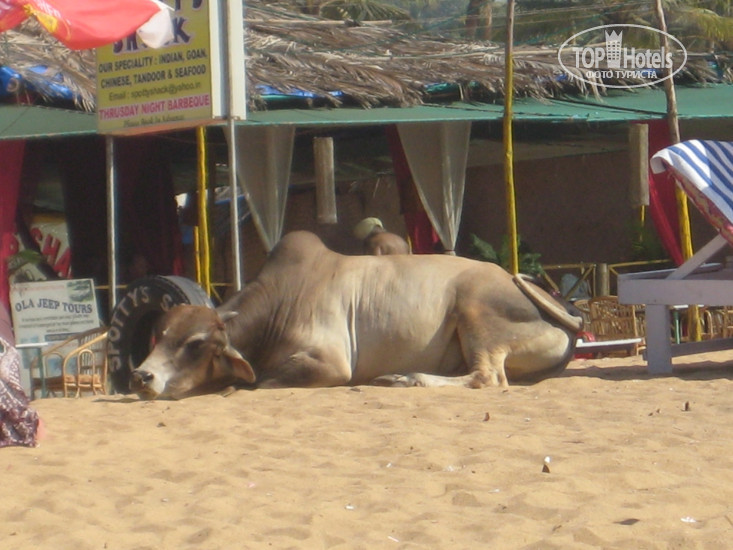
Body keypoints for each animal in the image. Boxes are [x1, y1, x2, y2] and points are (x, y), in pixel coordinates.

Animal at [131, 231, 582, 400]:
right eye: (159, 334)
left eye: (195, 343)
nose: (140, 376)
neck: (282, 300)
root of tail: (566, 315)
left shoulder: (331, 364)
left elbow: (257, 383)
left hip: (476, 311)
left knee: (487, 377)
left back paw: (406, 378)